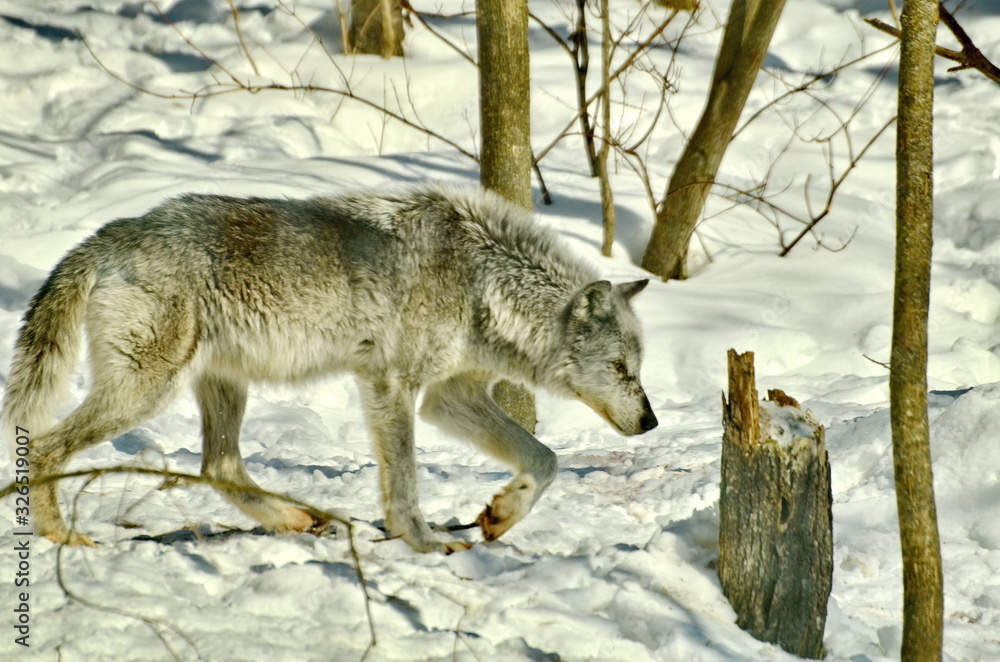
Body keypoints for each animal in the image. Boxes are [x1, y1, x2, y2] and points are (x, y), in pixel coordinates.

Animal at [2, 184, 657, 553]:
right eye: (621, 367)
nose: (652, 422)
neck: (480, 282)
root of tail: (111, 234)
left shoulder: (447, 399)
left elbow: (546, 460)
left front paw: (501, 516)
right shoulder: (394, 386)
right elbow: (406, 484)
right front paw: (424, 544)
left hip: (222, 387)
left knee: (220, 468)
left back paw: (299, 517)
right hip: (144, 392)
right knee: (44, 446)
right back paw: (61, 538)